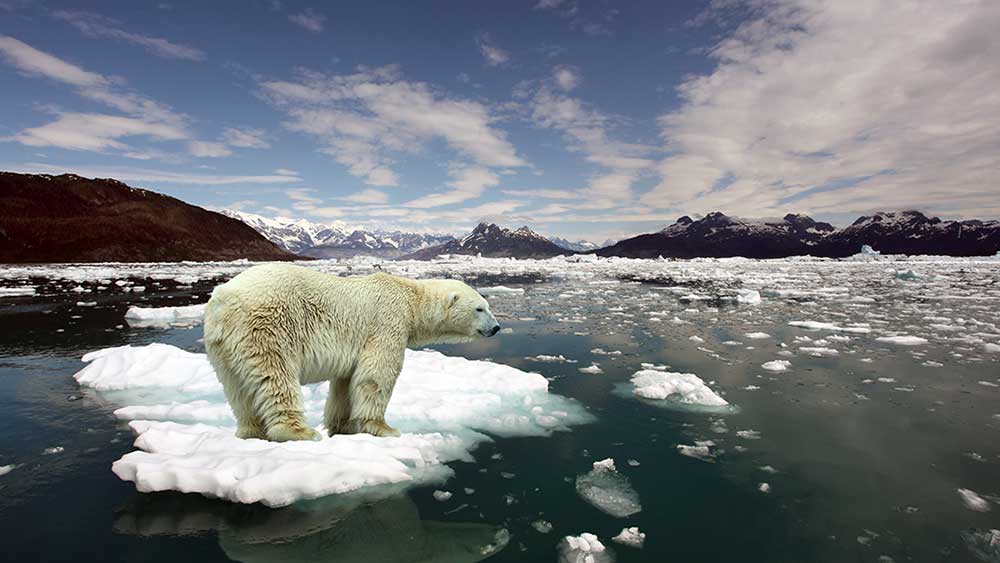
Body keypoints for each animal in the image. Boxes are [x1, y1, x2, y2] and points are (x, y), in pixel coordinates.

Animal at [203, 262, 500, 442]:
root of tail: (224, 300)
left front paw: (342, 426)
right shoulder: (387, 322)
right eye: (480, 308)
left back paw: (250, 432)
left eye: (487, 305)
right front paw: (385, 428)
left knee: (237, 389)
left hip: (222, 346)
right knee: (276, 376)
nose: (496, 328)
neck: (411, 299)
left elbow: (346, 383)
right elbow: (377, 375)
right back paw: (299, 432)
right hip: (268, 326)